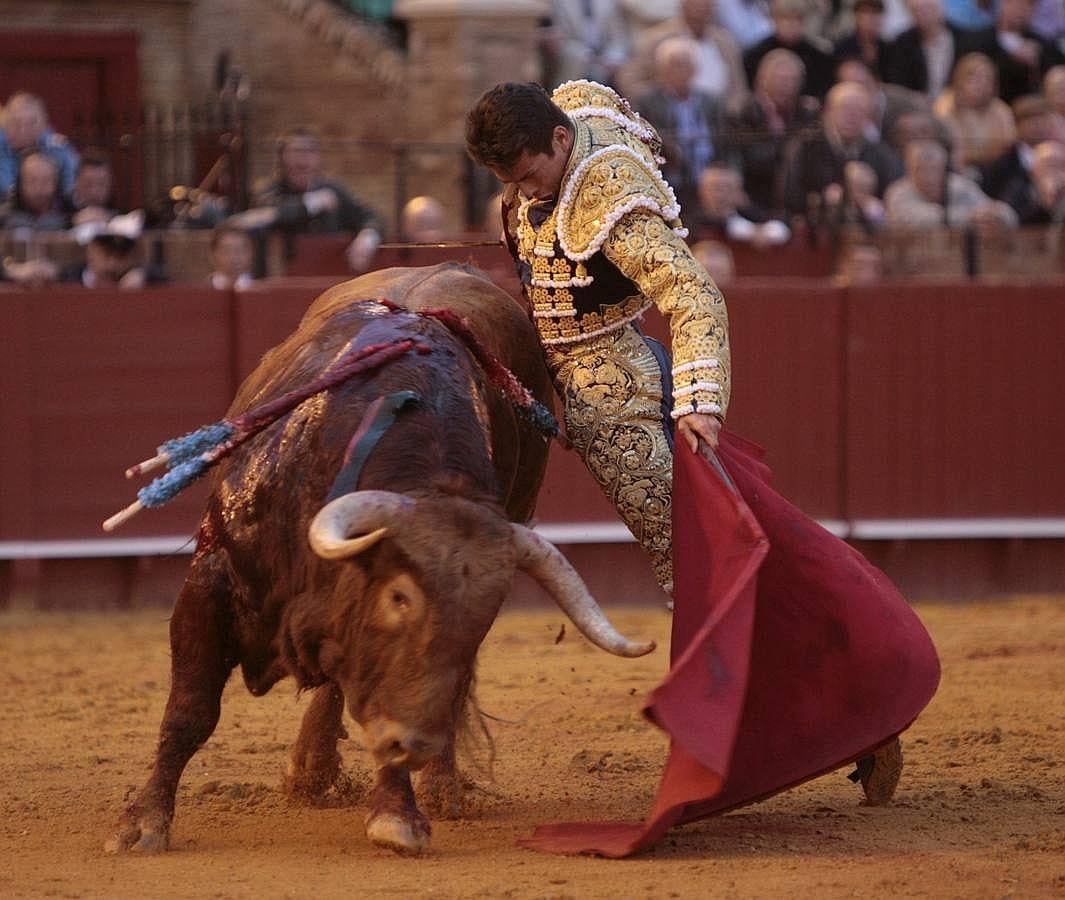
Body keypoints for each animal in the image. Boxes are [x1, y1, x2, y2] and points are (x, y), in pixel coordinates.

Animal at [110, 262, 656, 856]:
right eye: (399, 597)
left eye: (483, 616)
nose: (417, 745)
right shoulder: (210, 585)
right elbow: (190, 711)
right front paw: (143, 824)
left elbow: (389, 696)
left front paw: (398, 815)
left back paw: (414, 784)